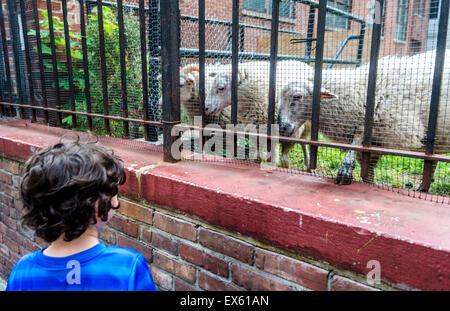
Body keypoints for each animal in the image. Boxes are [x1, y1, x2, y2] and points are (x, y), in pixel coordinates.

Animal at [278, 51, 450, 190]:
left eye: (297, 96)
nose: (282, 128)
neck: (359, 94)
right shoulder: (374, 142)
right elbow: (368, 172)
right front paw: (369, 183)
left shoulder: (389, 127)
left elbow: (358, 140)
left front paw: (345, 170)